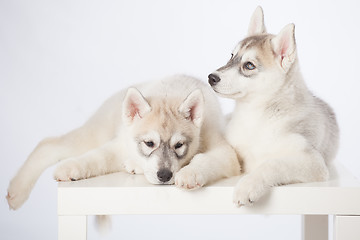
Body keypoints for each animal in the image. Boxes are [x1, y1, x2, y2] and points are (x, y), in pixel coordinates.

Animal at [6, 75, 239, 210]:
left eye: (178, 146)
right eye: (149, 143)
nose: (164, 176)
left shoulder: (224, 152)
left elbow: (204, 160)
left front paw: (190, 173)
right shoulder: (119, 145)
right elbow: (96, 157)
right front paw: (72, 166)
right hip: (94, 135)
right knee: (47, 144)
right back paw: (17, 192)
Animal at [207, 7, 338, 206]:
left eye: (249, 65)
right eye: (231, 56)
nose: (211, 78)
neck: (256, 119)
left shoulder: (312, 162)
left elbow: (271, 164)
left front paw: (248, 185)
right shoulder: (232, 150)